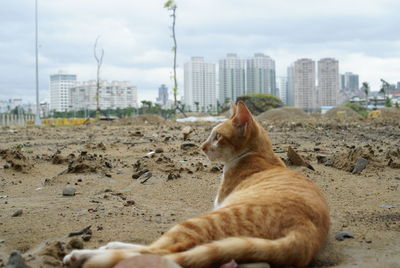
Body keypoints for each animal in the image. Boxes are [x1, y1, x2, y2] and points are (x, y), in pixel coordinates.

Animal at [64, 101, 330, 266]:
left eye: (217, 136)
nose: (201, 147)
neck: (260, 154)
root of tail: (306, 232)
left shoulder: (218, 204)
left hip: (203, 221)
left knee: (158, 251)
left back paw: (81, 255)